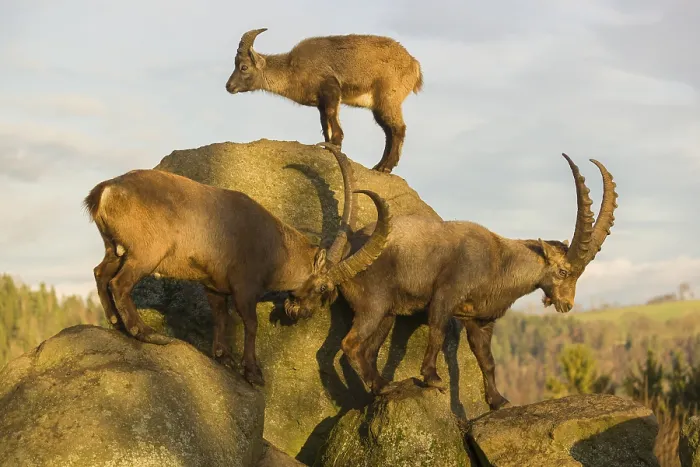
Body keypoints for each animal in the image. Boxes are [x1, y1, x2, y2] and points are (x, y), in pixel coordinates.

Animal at [83, 143, 391, 386]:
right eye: (324, 287)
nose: (302, 313)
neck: (276, 248)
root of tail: (105, 191)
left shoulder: (214, 285)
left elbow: (220, 317)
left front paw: (223, 357)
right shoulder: (245, 287)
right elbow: (251, 324)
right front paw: (253, 372)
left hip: (116, 249)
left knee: (100, 273)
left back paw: (117, 324)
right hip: (145, 254)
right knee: (119, 283)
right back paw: (146, 333)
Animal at [225, 28, 423, 174]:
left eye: (243, 67)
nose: (229, 86)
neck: (292, 68)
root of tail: (414, 64)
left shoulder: (330, 89)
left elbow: (331, 115)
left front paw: (336, 142)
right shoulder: (320, 102)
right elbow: (324, 123)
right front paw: (328, 146)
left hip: (388, 99)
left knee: (398, 129)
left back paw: (386, 167)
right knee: (389, 131)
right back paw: (379, 166)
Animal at [287, 153, 618, 409]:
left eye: (578, 274)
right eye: (562, 272)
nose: (566, 304)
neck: (499, 260)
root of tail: (343, 260)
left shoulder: (480, 320)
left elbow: (487, 360)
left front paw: (498, 400)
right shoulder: (446, 294)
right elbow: (437, 332)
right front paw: (432, 378)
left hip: (387, 314)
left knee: (367, 350)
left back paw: (381, 386)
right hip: (374, 304)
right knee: (351, 344)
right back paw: (381, 387)